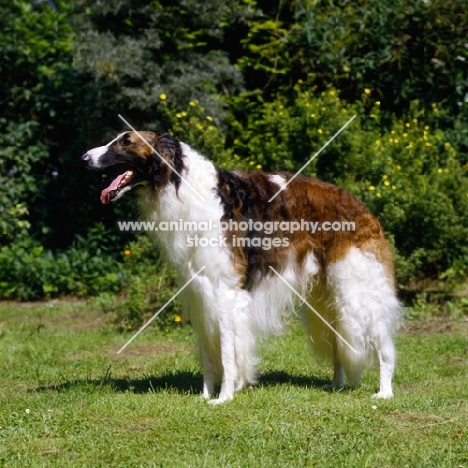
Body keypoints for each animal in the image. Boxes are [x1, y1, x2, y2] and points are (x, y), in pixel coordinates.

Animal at [81, 130, 398, 404]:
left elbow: (227, 353)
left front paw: (224, 396)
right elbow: (208, 355)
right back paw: (336, 385)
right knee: (340, 347)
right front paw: (205, 395)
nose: (84, 157)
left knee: (384, 347)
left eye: (126, 141)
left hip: (355, 289)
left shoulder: (225, 291)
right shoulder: (199, 290)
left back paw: (384, 392)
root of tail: (361, 206)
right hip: (327, 295)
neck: (186, 187)